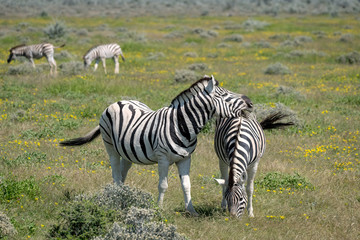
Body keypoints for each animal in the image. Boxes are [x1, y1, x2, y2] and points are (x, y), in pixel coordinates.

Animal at [60, 75, 253, 216]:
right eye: (225, 95)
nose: (250, 102)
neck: (182, 125)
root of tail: (118, 102)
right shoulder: (163, 158)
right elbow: (163, 185)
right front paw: (158, 209)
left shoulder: (185, 158)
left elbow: (187, 185)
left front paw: (192, 211)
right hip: (110, 147)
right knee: (115, 172)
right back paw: (115, 198)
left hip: (128, 151)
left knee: (122, 173)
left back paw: (122, 195)